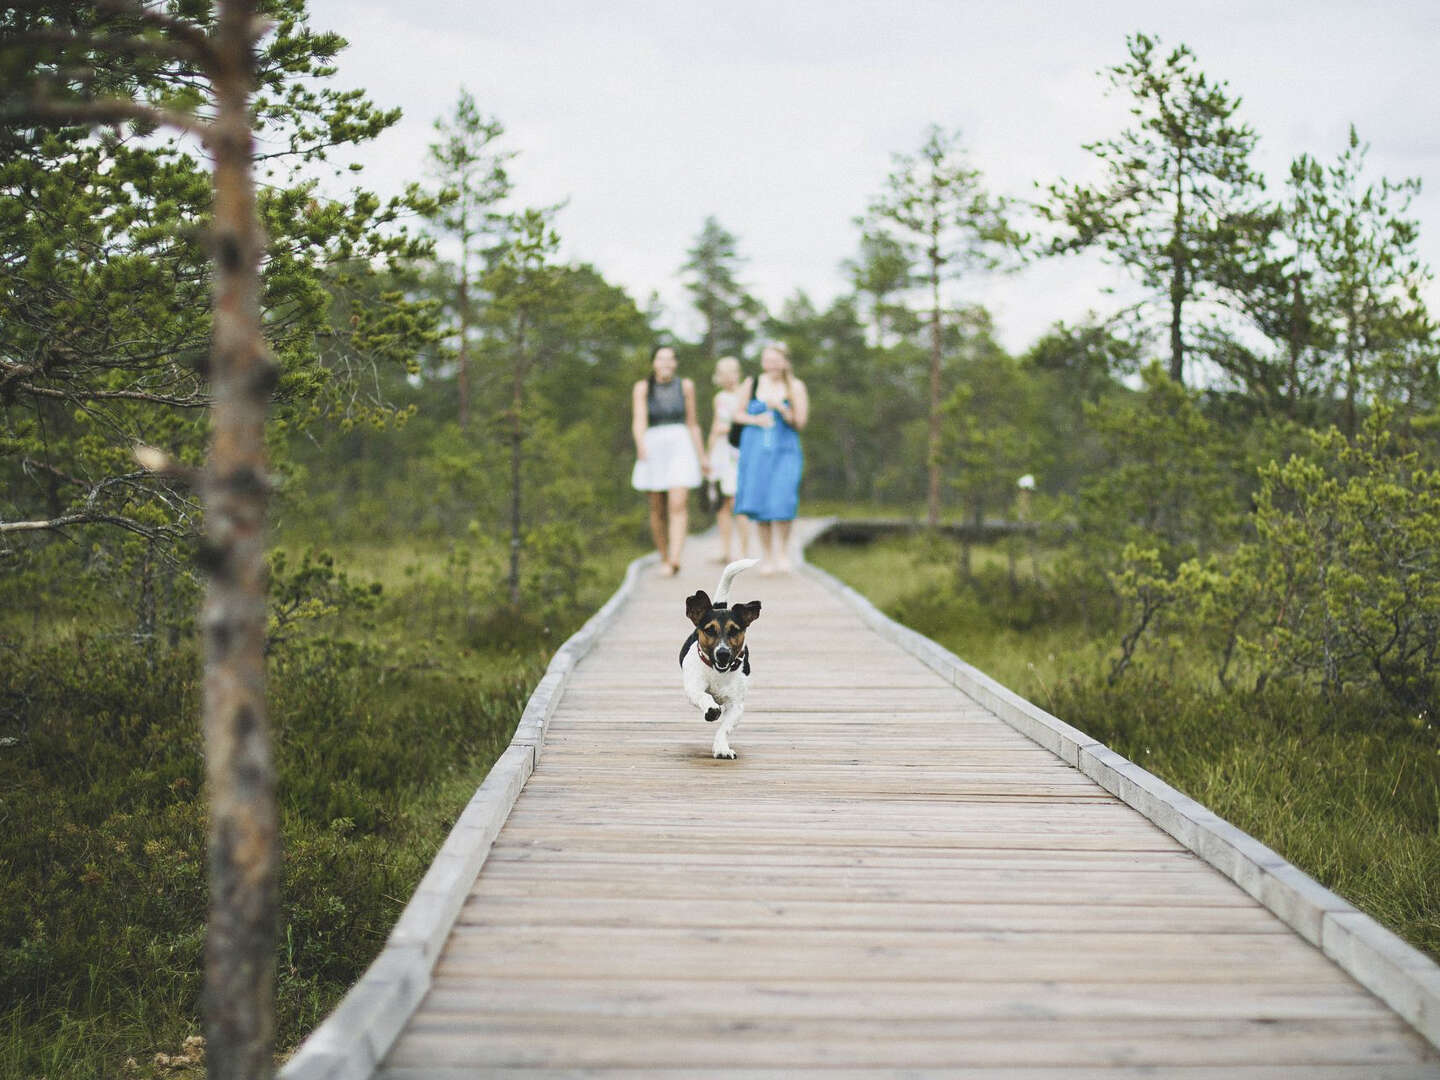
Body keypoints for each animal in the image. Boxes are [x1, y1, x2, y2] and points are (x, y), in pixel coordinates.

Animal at [676, 558, 766, 760]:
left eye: (734, 630)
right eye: (710, 630)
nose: (723, 653)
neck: (718, 672)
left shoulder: (736, 705)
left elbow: (724, 728)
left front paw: (722, 748)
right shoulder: (693, 688)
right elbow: (703, 696)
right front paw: (711, 709)